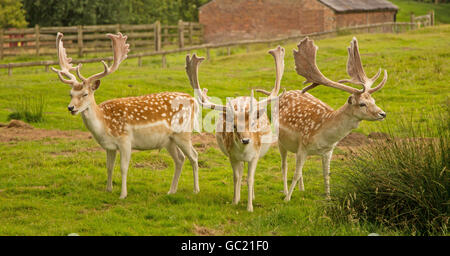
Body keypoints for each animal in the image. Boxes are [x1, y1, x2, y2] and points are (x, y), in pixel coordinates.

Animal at [51, 33, 200, 199]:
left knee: (194, 156)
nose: (71, 108)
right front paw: (108, 189)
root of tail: (192, 100)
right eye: (70, 94)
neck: (105, 125)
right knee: (180, 159)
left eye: (85, 94)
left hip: (183, 133)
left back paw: (196, 190)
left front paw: (123, 194)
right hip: (169, 140)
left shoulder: (125, 140)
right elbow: (109, 167)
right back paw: (171, 191)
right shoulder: (109, 146)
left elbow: (123, 167)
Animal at [184, 46, 284, 212]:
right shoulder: (232, 156)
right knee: (240, 171)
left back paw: (253, 196)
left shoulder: (255, 156)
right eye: (235, 126)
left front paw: (250, 207)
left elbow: (250, 179)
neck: (244, 152)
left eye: (253, 123)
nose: (246, 140)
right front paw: (235, 201)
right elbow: (236, 177)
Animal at [256, 37, 386, 202]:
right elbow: (295, 173)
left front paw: (328, 198)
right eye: (362, 103)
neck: (324, 135)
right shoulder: (303, 147)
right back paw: (285, 191)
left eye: (373, 100)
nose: (382, 114)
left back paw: (302, 189)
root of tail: (282, 94)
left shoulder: (328, 151)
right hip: (280, 140)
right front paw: (287, 199)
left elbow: (326, 174)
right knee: (284, 165)